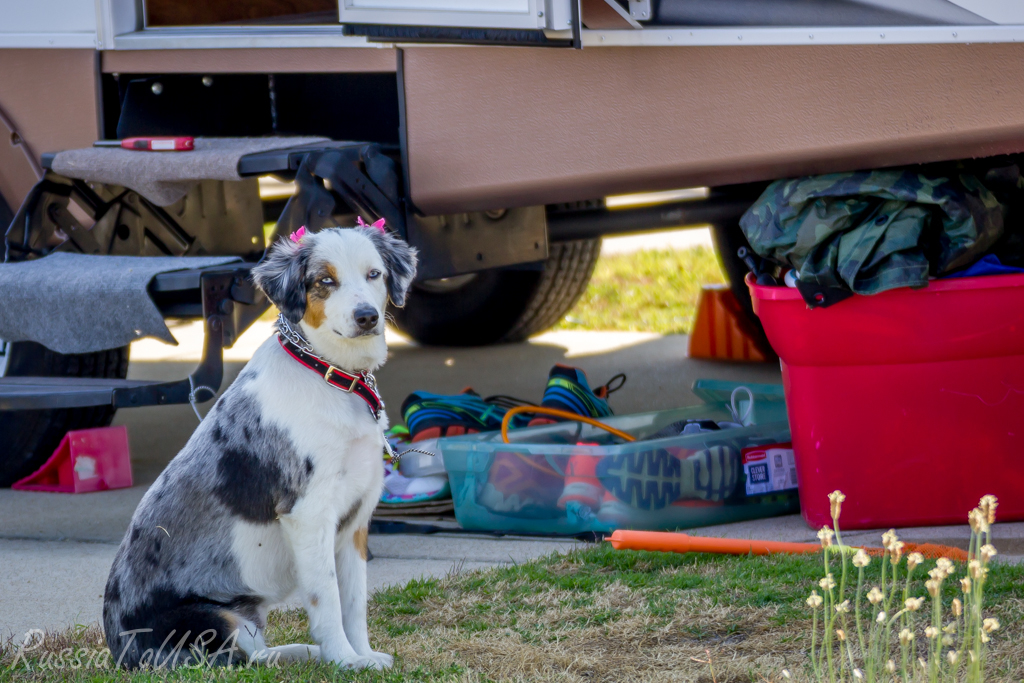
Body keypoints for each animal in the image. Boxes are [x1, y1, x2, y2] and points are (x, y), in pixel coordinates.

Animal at [104, 224, 419, 667]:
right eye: (325, 281)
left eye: (374, 274)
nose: (367, 317)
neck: (329, 373)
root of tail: (118, 649)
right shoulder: (309, 515)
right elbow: (328, 599)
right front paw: (345, 660)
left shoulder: (355, 519)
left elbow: (355, 602)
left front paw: (365, 657)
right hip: (213, 619)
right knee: (241, 660)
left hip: (244, 615)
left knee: (257, 654)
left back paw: (306, 652)